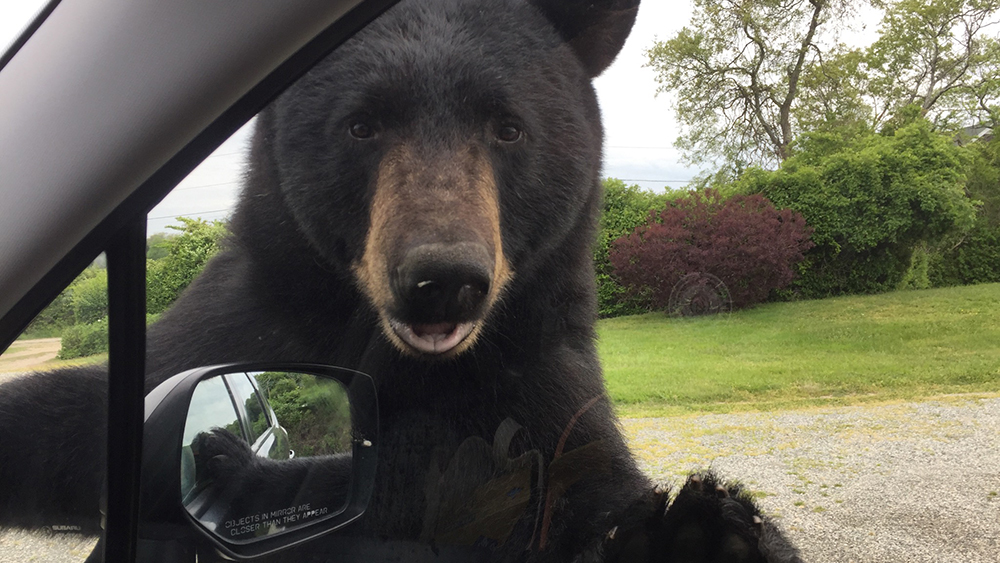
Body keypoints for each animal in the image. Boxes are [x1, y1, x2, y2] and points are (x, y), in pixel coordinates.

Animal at [0, 0, 803, 561]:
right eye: (362, 124)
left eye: (508, 126)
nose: (442, 278)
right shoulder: (239, 321)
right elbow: (92, 417)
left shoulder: (538, 376)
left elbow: (583, 484)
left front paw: (700, 531)